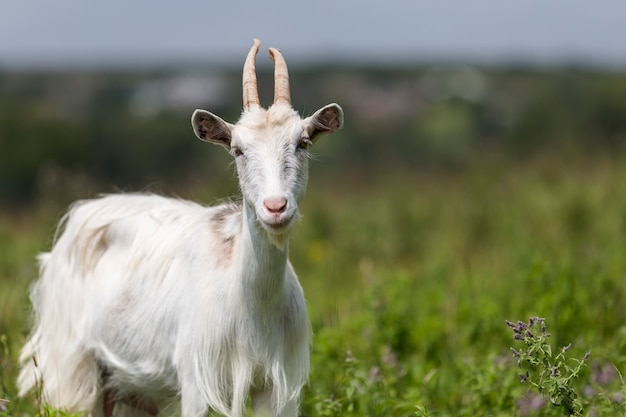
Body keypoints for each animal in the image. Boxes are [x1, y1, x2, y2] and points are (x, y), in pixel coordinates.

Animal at [17, 39, 344, 416]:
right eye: (237, 150)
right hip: (71, 366)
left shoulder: (277, 387)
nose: (275, 207)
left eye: (302, 143)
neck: (253, 307)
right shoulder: (196, 378)